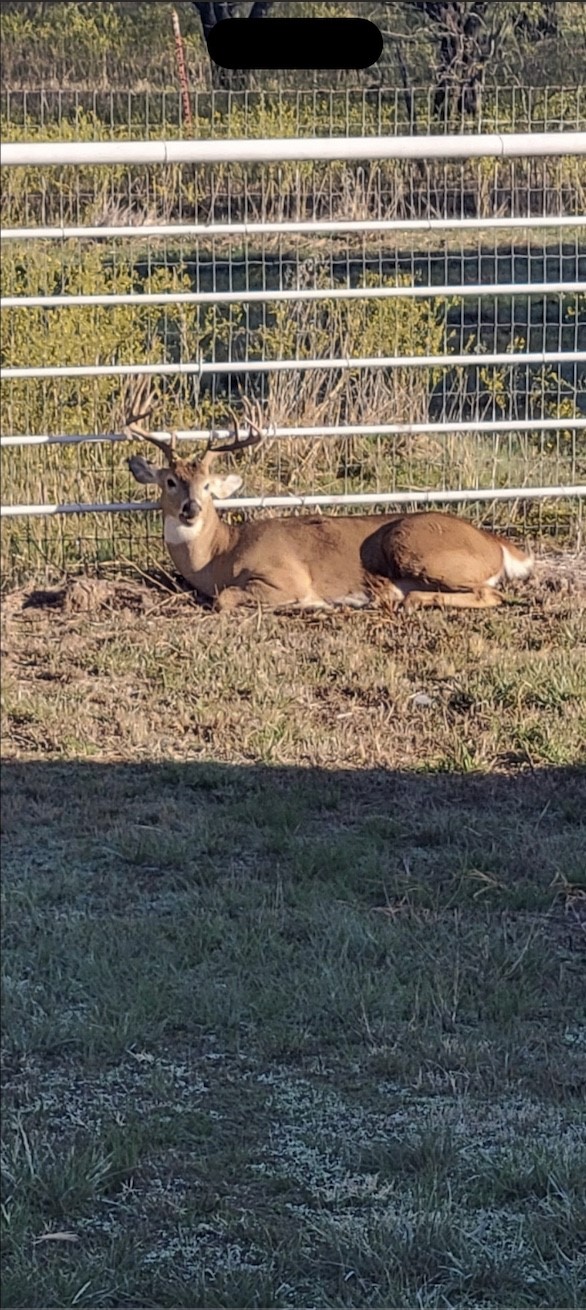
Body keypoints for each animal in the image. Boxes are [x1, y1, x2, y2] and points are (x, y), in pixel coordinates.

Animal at [123, 380, 534, 612]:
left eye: (208, 485)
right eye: (170, 481)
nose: (191, 509)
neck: (220, 556)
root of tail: (497, 545)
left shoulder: (284, 576)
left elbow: (224, 600)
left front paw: (312, 605)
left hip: (417, 547)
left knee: (489, 595)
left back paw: (406, 600)